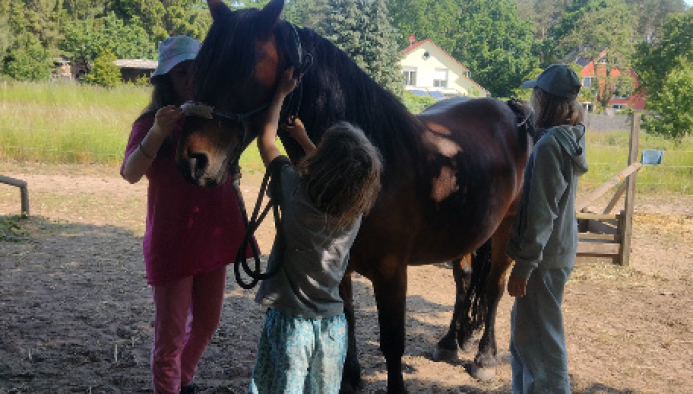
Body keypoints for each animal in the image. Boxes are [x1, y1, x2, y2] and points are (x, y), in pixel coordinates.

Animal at [176, 1, 532, 392]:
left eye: (246, 70)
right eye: (202, 68)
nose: (193, 161)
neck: (382, 164)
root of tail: (510, 112)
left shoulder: (392, 273)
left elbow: (392, 341)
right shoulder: (338, 265)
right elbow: (345, 319)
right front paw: (350, 378)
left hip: (505, 230)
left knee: (495, 288)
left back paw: (485, 357)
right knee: (464, 278)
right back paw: (451, 342)